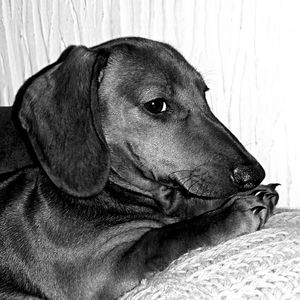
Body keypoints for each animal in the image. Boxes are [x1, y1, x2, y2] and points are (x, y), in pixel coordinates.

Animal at [0, 38, 278, 300]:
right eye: (156, 105)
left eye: (204, 93)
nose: (254, 175)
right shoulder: (98, 273)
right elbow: (161, 237)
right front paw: (227, 215)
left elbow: (189, 205)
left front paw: (254, 194)